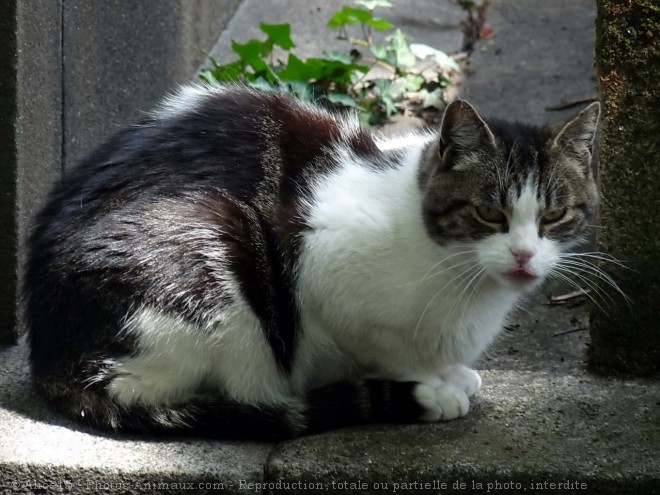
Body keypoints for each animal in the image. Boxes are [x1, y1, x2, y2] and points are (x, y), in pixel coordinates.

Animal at [23, 85, 600, 442]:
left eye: (554, 216)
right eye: (489, 213)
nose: (524, 255)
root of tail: (48, 356)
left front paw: (447, 372)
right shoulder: (323, 265)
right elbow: (382, 348)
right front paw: (431, 386)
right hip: (215, 243)